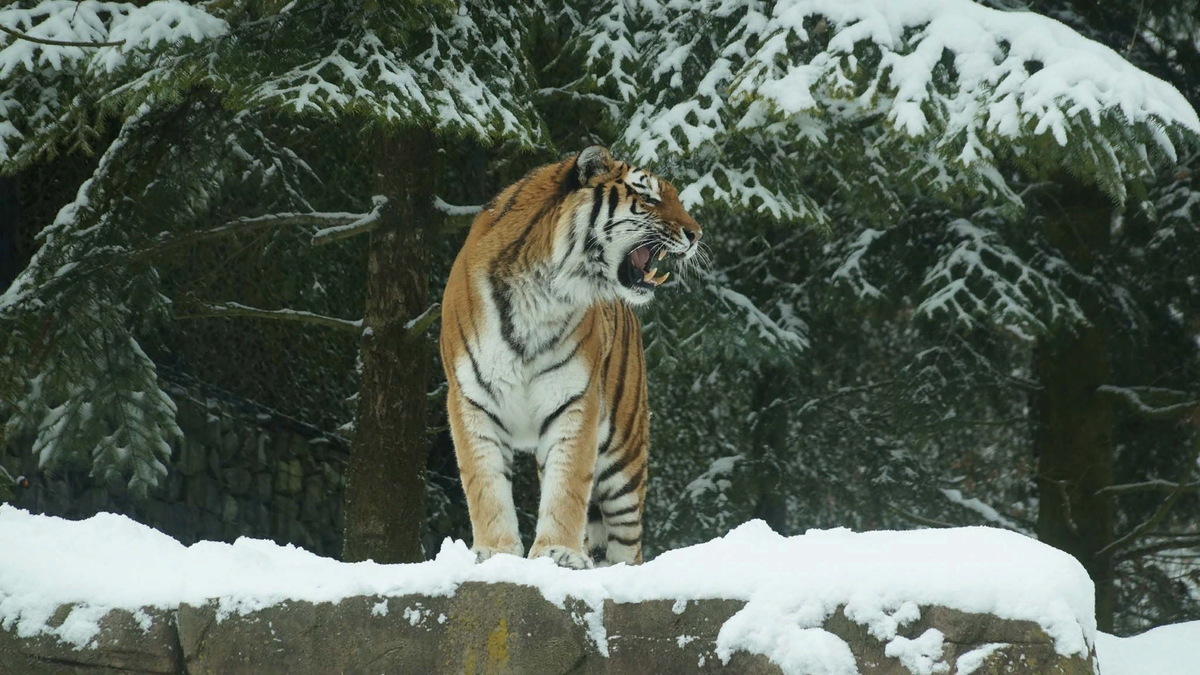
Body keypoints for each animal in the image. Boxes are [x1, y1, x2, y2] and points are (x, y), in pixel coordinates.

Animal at [441, 147, 700, 566]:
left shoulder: (574, 400)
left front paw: (557, 552)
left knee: (627, 544)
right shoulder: (471, 399)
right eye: (648, 197)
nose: (697, 234)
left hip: (624, 457)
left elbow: (566, 486)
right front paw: (495, 552)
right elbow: (486, 485)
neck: (540, 289)